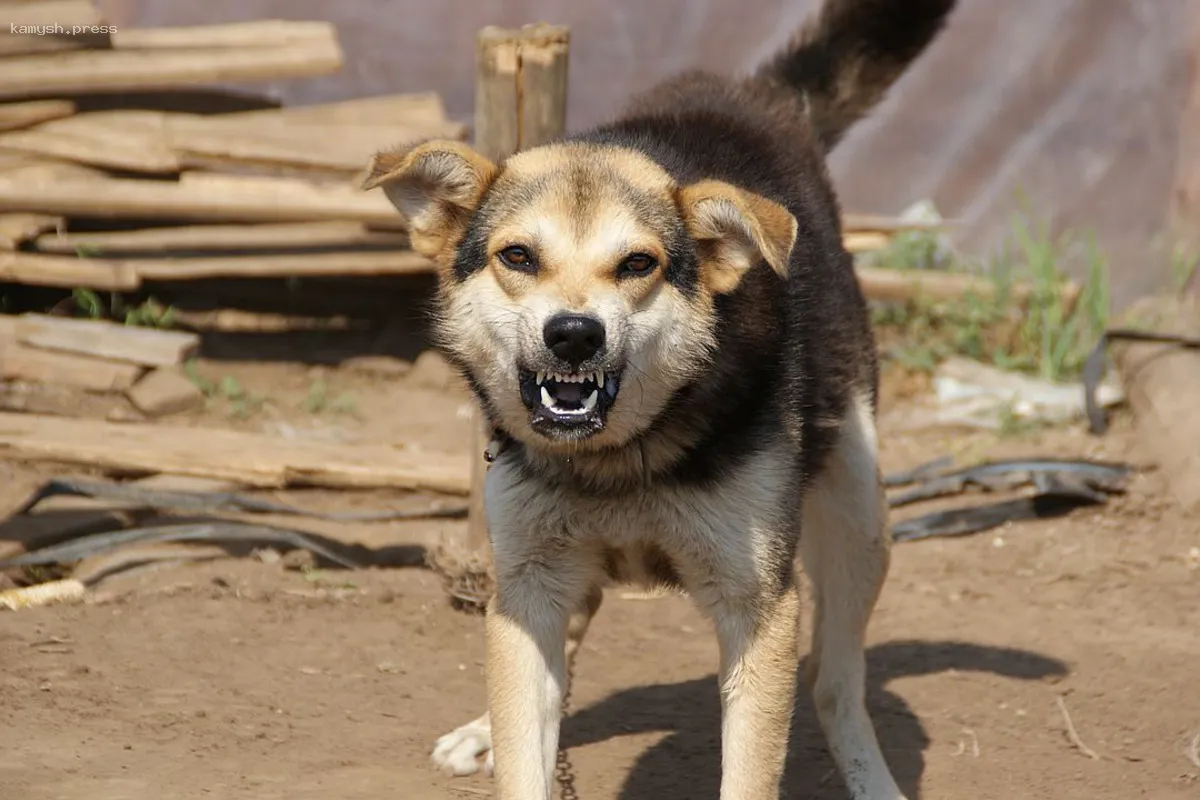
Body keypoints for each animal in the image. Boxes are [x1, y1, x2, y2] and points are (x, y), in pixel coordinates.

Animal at [364, 0, 955, 796]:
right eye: (518, 256)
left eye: (638, 264)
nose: (573, 335)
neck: (618, 459)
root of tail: (757, 94)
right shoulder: (532, 581)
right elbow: (526, 742)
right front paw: (499, 735)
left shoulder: (757, 607)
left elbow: (751, 766)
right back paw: (484, 728)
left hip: (861, 519)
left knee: (835, 685)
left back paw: (870, 775)